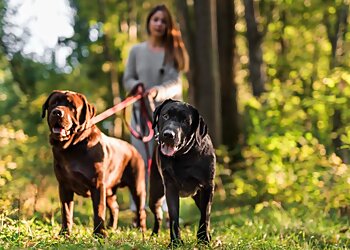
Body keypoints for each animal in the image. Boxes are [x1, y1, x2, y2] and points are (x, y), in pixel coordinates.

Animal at [42, 90, 146, 236]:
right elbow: (66, 211)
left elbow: (99, 210)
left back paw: (142, 230)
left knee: (141, 210)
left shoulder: (97, 184)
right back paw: (111, 227)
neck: (71, 148)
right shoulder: (64, 185)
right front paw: (64, 233)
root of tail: (133, 149)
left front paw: (100, 234)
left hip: (137, 186)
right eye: (54, 103)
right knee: (115, 207)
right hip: (109, 190)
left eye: (72, 106)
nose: (57, 112)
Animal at [148, 98, 216, 245]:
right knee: (158, 216)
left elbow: (205, 215)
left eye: (185, 121)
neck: (183, 156)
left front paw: (204, 239)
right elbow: (173, 217)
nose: (168, 134)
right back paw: (153, 236)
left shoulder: (207, 186)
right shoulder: (170, 187)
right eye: (165, 116)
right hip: (154, 195)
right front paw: (175, 242)